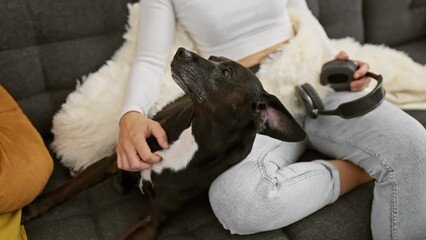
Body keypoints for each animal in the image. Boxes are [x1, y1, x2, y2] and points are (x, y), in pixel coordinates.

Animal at [22, 47, 306, 239]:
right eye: (213, 58)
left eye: (226, 73)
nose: (181, 51)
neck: (196, 135)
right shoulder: (110, 161)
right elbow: (63, 190)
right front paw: (29, 210)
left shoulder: (153, 219)